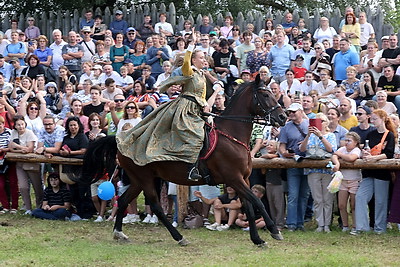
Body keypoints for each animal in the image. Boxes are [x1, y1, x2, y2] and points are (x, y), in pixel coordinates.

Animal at [82, 80, 288, 248]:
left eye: (273, 93)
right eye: (265, 95)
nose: (283, 117)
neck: (232, 136)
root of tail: (120, 141)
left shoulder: (243, 179)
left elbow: (250, 207)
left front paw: (258, 239)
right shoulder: (234, 179)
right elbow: (257, 203)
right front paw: (274, 231)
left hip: (139, 180)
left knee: (125, 200)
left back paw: (119, 233)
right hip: (144, 179)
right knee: (156, 207)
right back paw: (179, 237)